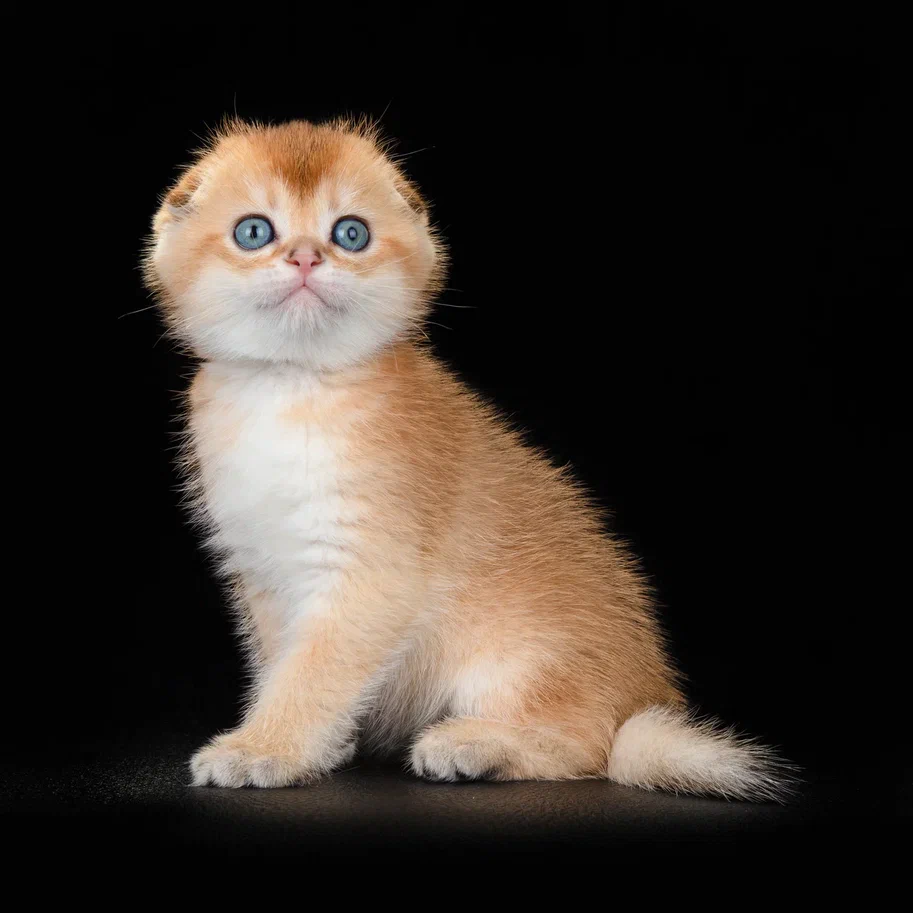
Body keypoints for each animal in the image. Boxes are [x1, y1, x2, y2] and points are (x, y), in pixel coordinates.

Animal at [143, 117, 790, 799]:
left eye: (350, 233)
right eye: (254, 231)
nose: (306, 257)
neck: (295, 389)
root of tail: (645, 696)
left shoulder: (372, 575)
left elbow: (312, 672)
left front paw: (264, 749)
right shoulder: (264, 576)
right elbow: (282, 668)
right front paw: (313, 748)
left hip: (520, 661)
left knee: (595, 748)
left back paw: (477, 746)